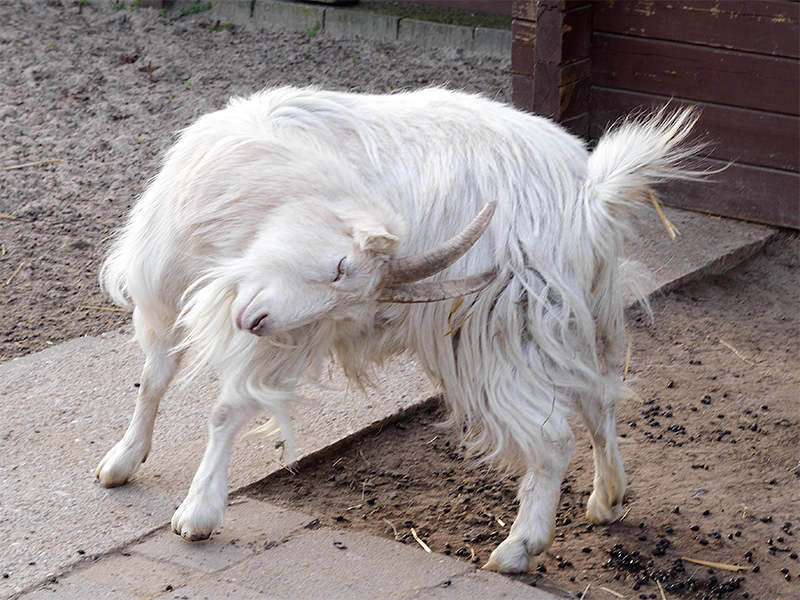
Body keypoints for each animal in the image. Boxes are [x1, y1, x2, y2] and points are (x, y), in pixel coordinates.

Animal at [95, 88, 700, 572]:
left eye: (344, 285)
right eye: (341, 267)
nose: (255, 320)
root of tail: (588, 196)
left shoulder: (274, 345)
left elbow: (226, 411)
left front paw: (198, 513)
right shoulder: (169, 298)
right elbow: (152, 380)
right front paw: (122, 461)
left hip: (502, 332)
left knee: (553, 436)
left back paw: (518, 549)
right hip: (580, 316)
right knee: (600, 399)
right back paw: (608, 499)